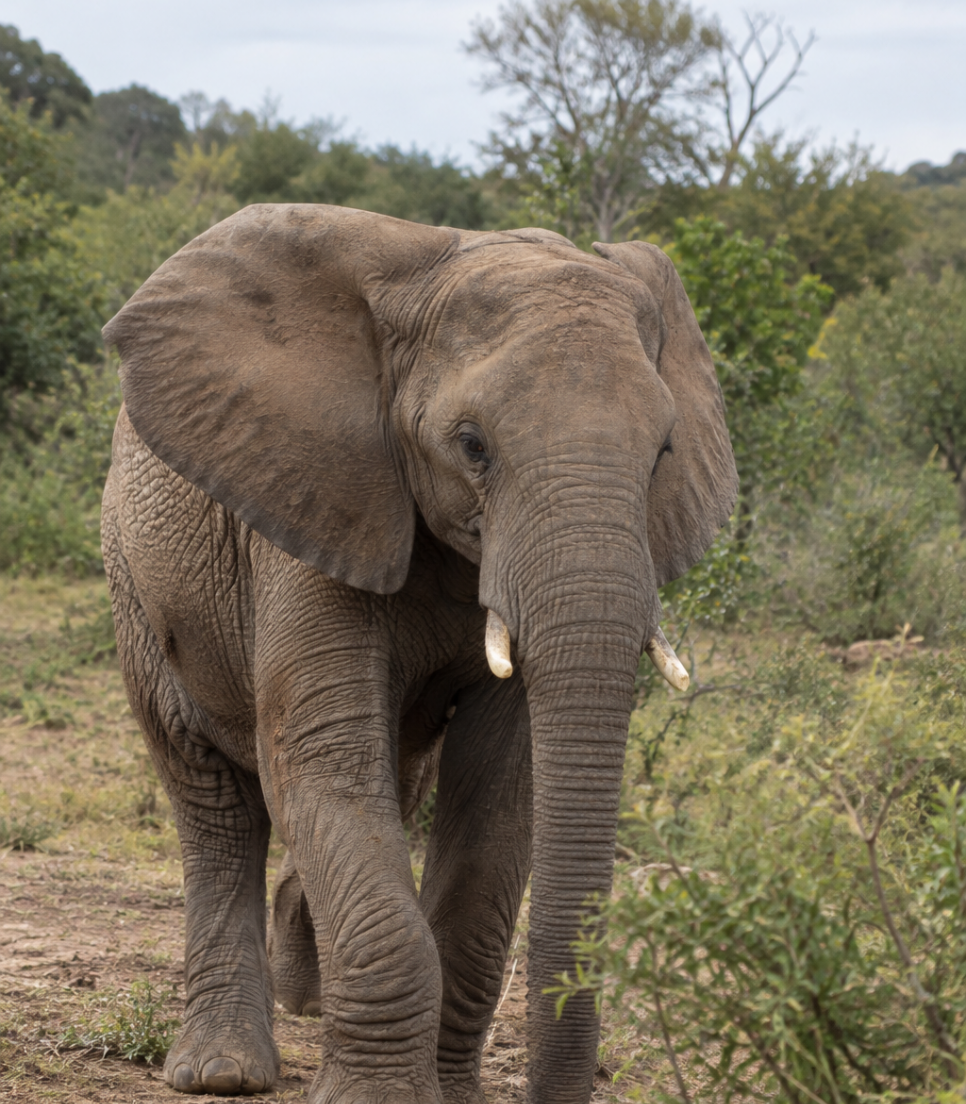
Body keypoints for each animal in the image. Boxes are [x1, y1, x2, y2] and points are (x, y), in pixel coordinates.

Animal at [100, 204, 737, 1104]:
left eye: (663, 455)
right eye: (472, 446)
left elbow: (501, 788)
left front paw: (451, 1094)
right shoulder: (313, 502)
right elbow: (322, 759)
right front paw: (376, 1098)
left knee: (396, 783)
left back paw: (305, 993)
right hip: (134, 579)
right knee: (214, 800)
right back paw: (224, 1070)